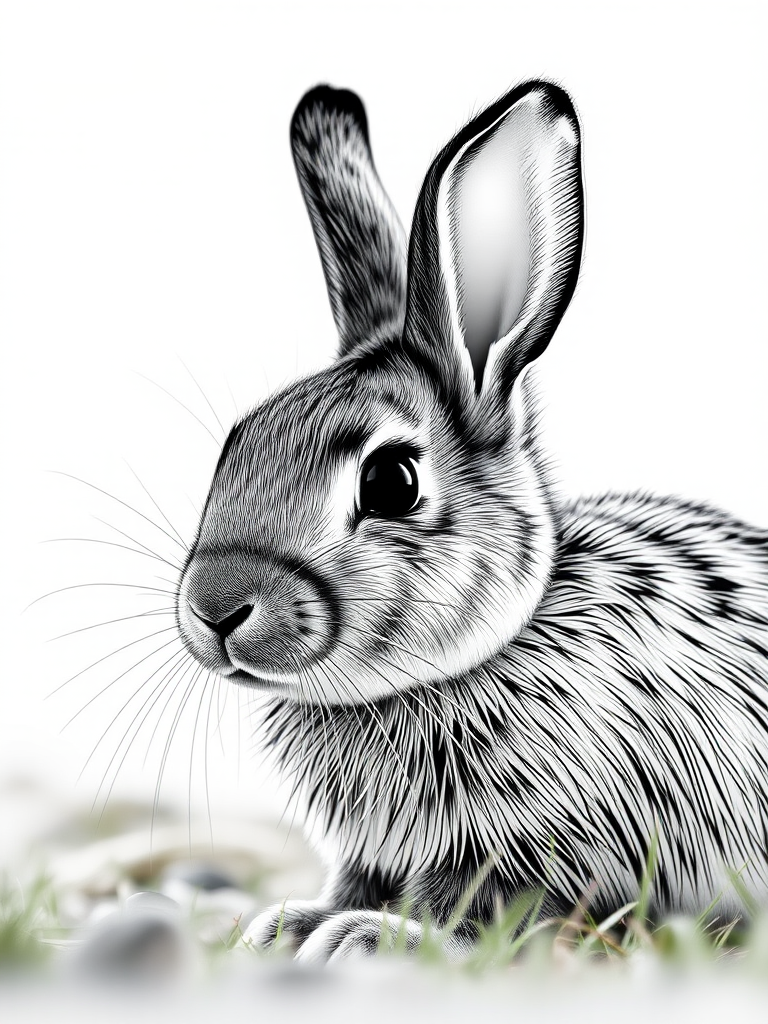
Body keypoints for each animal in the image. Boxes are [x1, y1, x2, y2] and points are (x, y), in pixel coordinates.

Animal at [176, 80, 768, 964]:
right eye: (237, 443)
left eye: (392, 481)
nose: (214, 609)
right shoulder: (378, 845)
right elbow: (359, 877)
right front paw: (290, 924)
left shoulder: (542, 838)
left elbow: (479, 913)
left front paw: (370, 939)